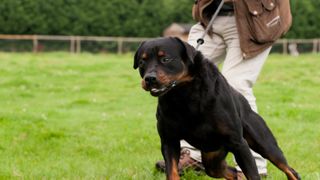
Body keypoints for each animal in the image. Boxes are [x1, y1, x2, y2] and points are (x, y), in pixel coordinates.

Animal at [133, 37, 300, 180]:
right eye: (142, 62)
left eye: (165, 59)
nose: (149, 79)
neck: (184, 95)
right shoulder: (169, 141)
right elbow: (172, 172)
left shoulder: (239, 144)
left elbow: (253, 175)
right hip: (212, 158)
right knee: (231, 172)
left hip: (263, 142)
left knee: (289, 169)